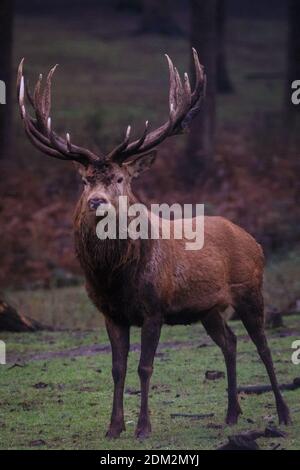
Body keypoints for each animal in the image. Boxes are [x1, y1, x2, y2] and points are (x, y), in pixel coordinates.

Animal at [17, 49, 290, 438]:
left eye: (120, 178)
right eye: (85, 181)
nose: (96, 201)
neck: (115, 277)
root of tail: (254, 240)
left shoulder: (154, 308)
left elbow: (145, 367)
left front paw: (143, 426)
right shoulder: (111, 314)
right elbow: (117, 369)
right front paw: (114, 428)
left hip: (251, 290)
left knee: (263, 346)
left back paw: (283, 413)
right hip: (208, 309)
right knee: (230, 341)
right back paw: (231, 414)